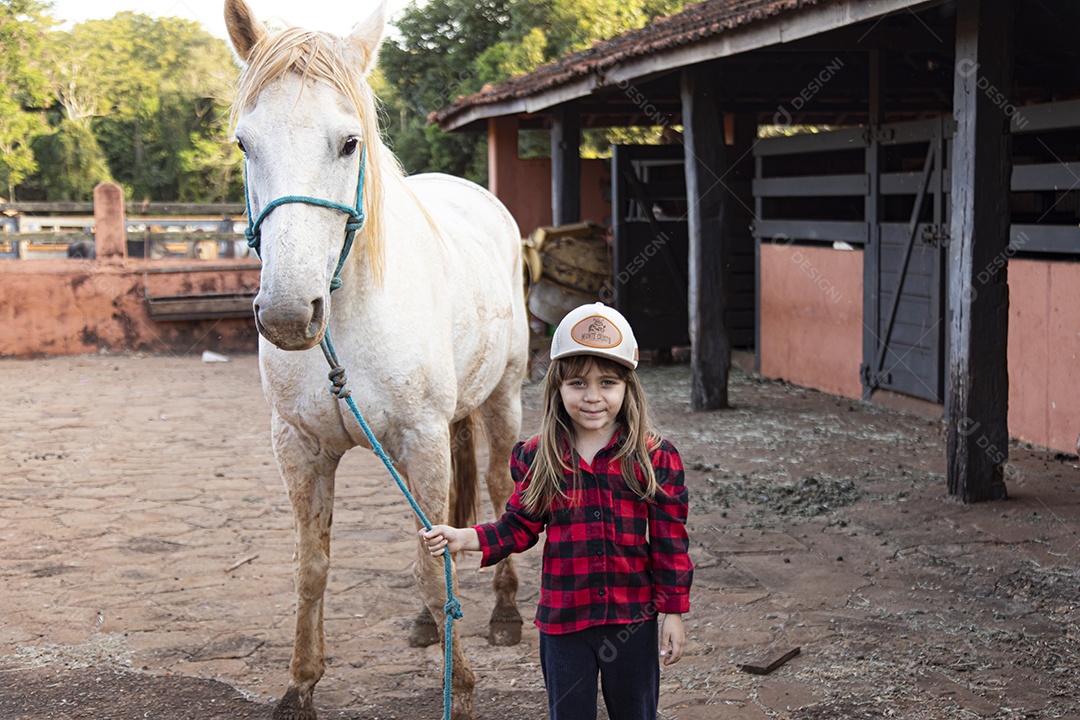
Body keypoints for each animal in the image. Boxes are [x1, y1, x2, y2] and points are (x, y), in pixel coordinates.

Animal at [223, 1, 528, 718]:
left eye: (349, 142)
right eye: (245, 144)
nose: (288, 313)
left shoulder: (420, 439)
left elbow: (430, 567)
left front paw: (460, 688)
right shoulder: (300, 448)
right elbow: (312, 566)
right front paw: (300, 684)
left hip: (504, 397)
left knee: (497, 487)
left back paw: (505, 613)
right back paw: (427, 624)